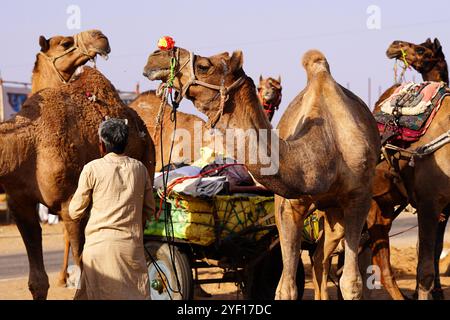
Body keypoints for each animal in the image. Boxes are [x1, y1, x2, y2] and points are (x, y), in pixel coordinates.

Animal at [0, 63, 156, 298]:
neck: (28, 144)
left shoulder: (70, 203)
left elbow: (85, 274)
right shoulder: (20, 204)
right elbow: (37, 281)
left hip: (149, 163)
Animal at [143, 47, 380, 300]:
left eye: (205, 66)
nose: (157, 55)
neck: (325, 148)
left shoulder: (358, 199)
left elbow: (351, 283)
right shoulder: (289, 205)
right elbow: (285, 288)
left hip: (335, 210)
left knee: (321, 258)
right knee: (319, 259)